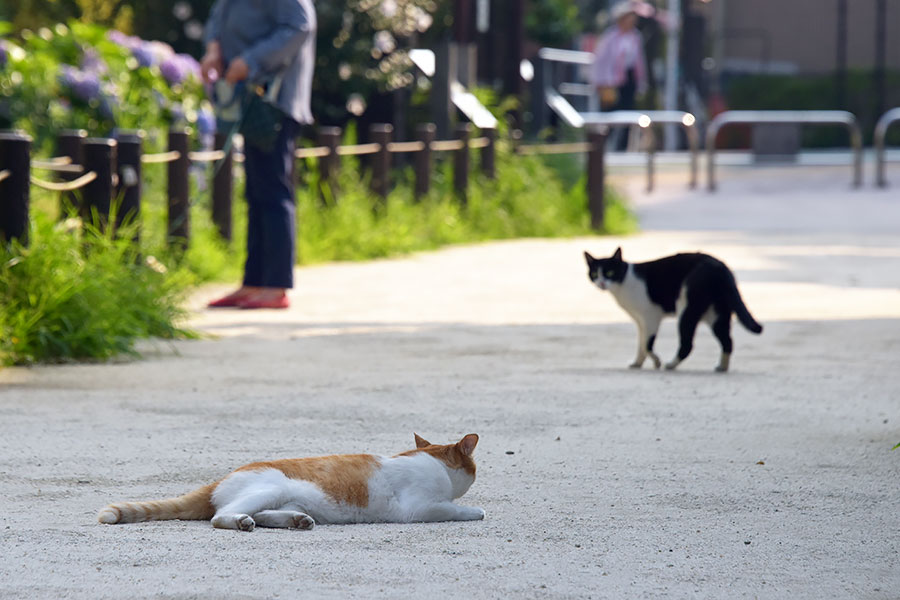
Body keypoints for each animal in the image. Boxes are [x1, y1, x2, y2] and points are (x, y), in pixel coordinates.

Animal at [98, 434, 486, 532]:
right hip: (271, 487)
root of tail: (218, 480)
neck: (434, 461)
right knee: (221, 516)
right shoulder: (421, 507)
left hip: (287, 499)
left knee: (267, 515)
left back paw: (297, 521)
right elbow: (459, 509)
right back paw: (242, 522)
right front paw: (476, 510)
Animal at [584, 247, 760, 370]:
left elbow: (647, 344)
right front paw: (637, 363)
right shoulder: (640, 322)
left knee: (687, 344)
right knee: (728, 341)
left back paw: (670, 365)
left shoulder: (650, 317)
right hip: (717, 315)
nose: (601, 283)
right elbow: (641, 345)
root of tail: (720, 267)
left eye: (609, 272)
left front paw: (656, 362)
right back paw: (722, 367)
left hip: (687, 310)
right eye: (594, 273)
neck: (624, 282)